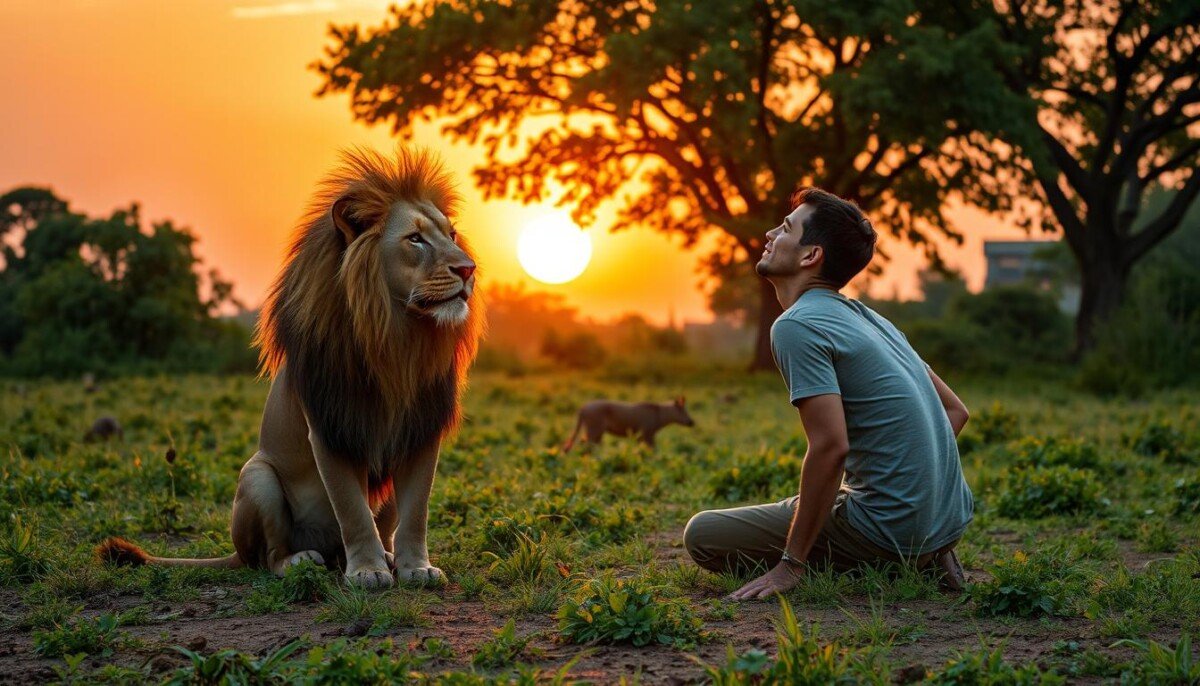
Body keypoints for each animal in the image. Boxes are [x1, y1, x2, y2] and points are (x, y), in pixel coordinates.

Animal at [97, 146, 483, 589]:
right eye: (415, 239)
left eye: (452, 236)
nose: (469, 269)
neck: (397, 339)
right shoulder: (331, 428)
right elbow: (353, 510)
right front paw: (367, 572)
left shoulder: (422, 428)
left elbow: (416, 511)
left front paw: (415, 568)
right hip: (258, 476)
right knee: (268, 557)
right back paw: (304, 562)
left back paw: (384, 556)